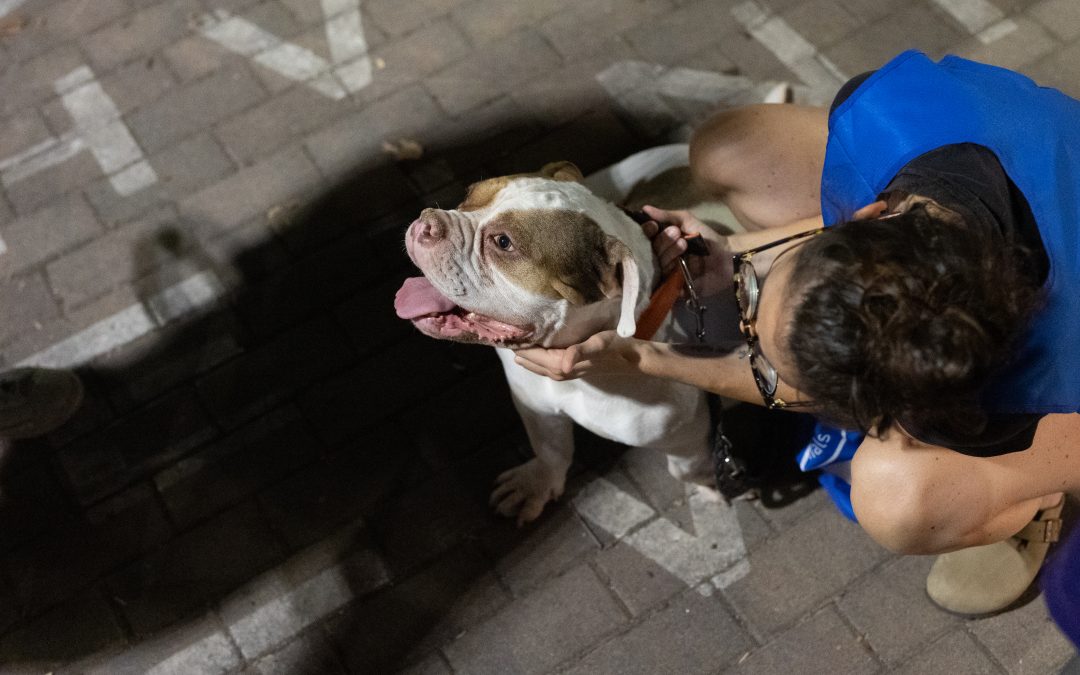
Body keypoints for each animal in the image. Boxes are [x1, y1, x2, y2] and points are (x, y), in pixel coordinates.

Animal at [393, 160, 712, 524]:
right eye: (469, 194)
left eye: (503, 242)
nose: (427, 221)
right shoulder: (535, 403)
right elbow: (551, 449)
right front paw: (535, 485)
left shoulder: (687, 433)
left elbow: (687, 468)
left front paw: (710, 487)